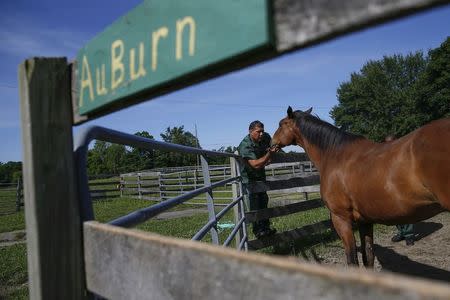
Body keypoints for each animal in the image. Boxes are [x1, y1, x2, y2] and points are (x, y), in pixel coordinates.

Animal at [270, 106, 450, 268]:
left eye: (281, 124)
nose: (271, 143)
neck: (335, 154)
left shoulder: (341, 219)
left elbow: (352, 261)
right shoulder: (365, 220)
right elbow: (368, 256)